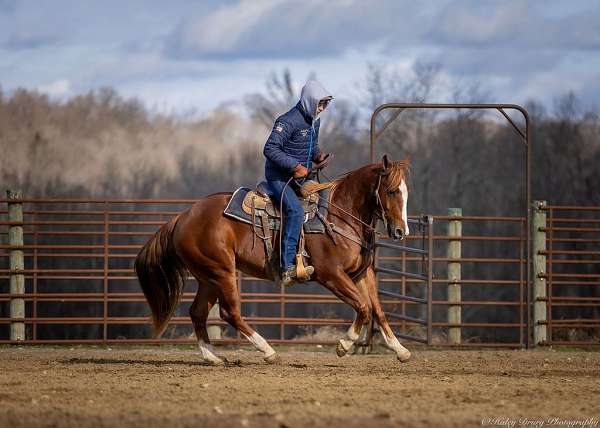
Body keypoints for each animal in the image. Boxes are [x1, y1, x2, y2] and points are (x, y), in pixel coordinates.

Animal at [135, 155, 412, 362]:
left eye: (406, 193)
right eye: (390, 191)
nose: (401, 231)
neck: (339, 214)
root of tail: (182, 217)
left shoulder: (363, 273)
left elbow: (377, 310)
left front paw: (399, 349)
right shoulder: (331, 274)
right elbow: (363, 307)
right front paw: (344, 344)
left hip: (208, 277)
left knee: (198, 312)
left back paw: (212, 356)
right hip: (222, 272)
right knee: (229, 312)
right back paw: (267, 350)